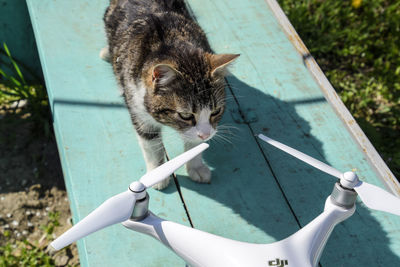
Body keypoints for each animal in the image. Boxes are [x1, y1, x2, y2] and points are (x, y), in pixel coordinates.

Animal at [101, 0, 238, 191]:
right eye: (186, 115)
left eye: (216, 111)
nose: (206, 135)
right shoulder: (137, 106)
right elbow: (150, 144)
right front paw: (156, 174)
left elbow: (194, 145)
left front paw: (196, 166)